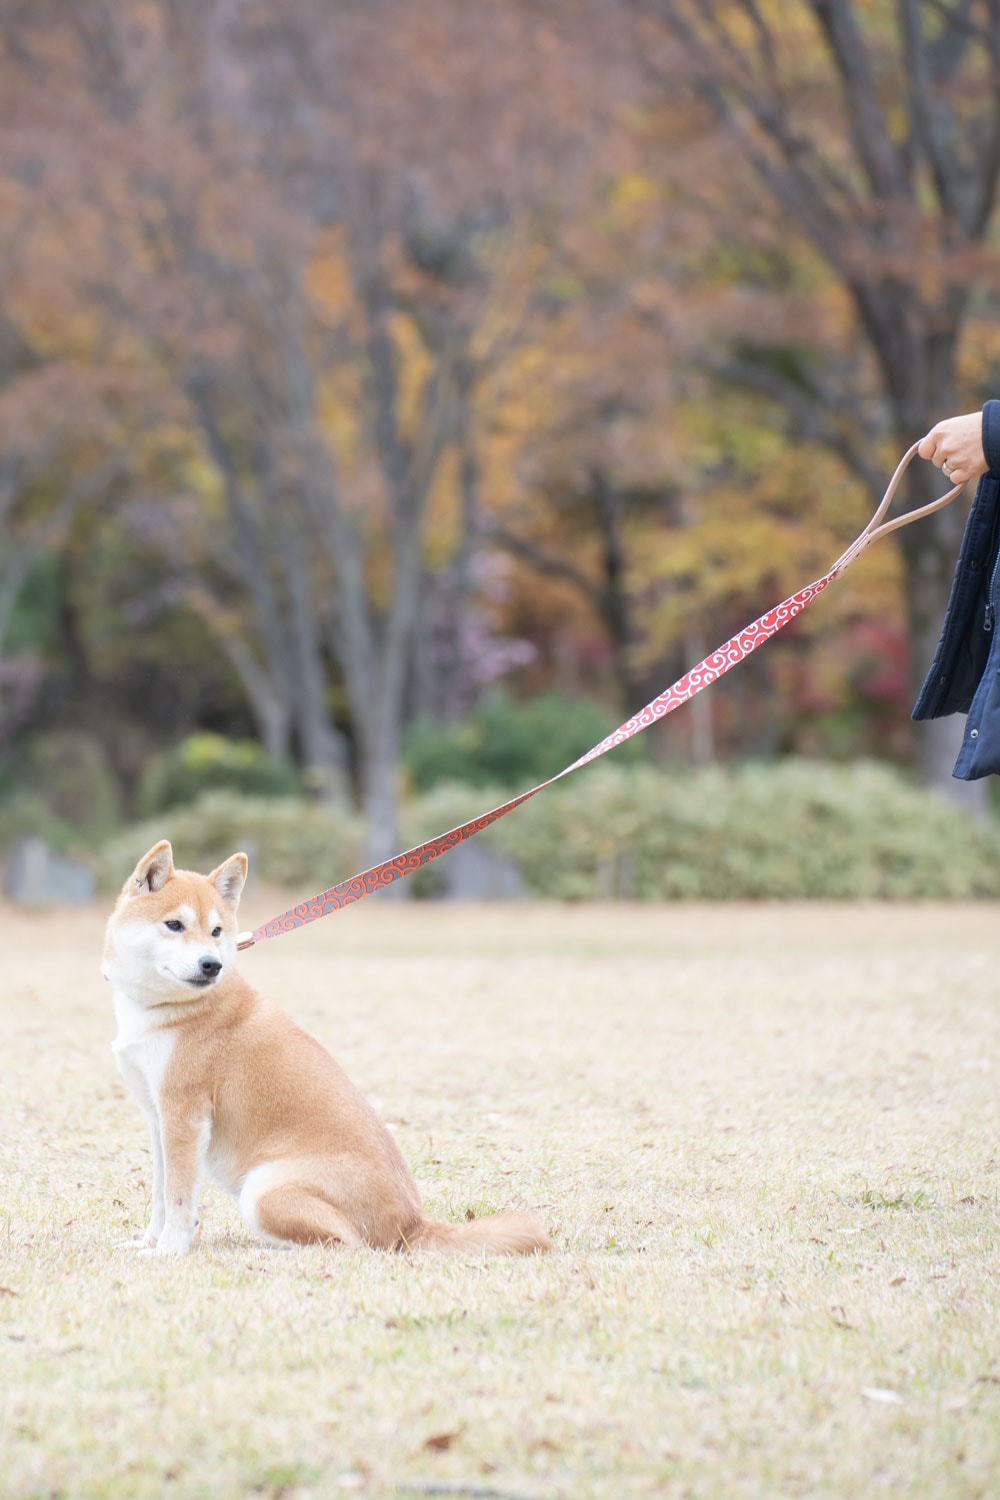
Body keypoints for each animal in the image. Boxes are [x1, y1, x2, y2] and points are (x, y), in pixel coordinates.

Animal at [101, 846, 551, 1254]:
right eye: (174, 924)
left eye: (216, 932)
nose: (212, 964)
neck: (166, 1008)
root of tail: (412, 1225)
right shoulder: (160, 1118)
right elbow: (161, 1195)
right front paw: (147, 1242)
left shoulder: (184, 1115)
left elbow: (178, 1198)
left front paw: (168, 1250)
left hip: (262, 1190)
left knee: (349, 1244)